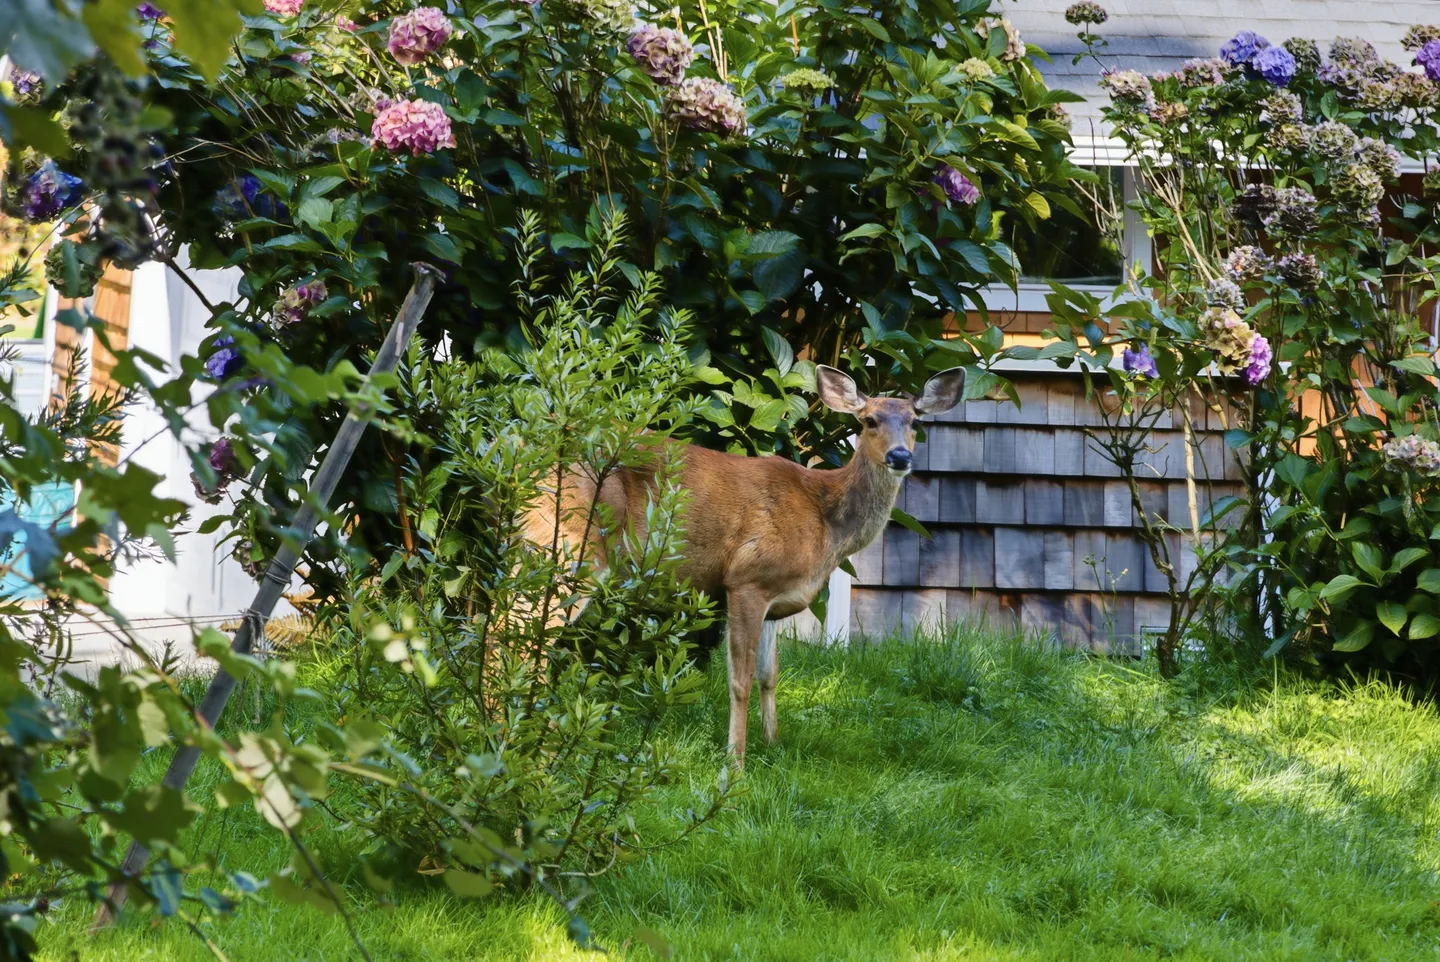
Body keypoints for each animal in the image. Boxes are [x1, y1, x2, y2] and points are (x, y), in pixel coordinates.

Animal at [524, 364, 965, 763]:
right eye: (869, 420)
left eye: (915, 422)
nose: (900, 456)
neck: (824, 518)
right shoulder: (746, 578)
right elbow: (740, 681)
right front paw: (735, 761)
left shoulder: (776, 597)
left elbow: (770, 674)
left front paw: (772, 743)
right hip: (571, 543)